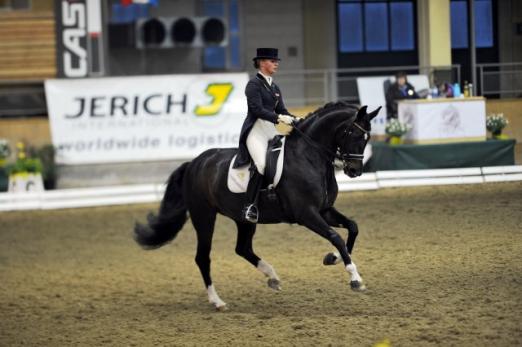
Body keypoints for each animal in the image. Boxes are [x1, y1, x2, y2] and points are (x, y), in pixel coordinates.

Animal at [134, 102, 378, 312]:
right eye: (354, 134)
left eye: (367, 137)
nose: (354, 171)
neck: (309, 157)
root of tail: (195, 162)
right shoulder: (306, 214)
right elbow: (336, 237)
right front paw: (355, 279)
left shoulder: (324, 210)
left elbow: (353, 227)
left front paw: (333, 258)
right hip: (204, 216)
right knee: (203, 257)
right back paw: (218, 301)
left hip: (243, 219)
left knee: (242, 248)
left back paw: (272, 277)